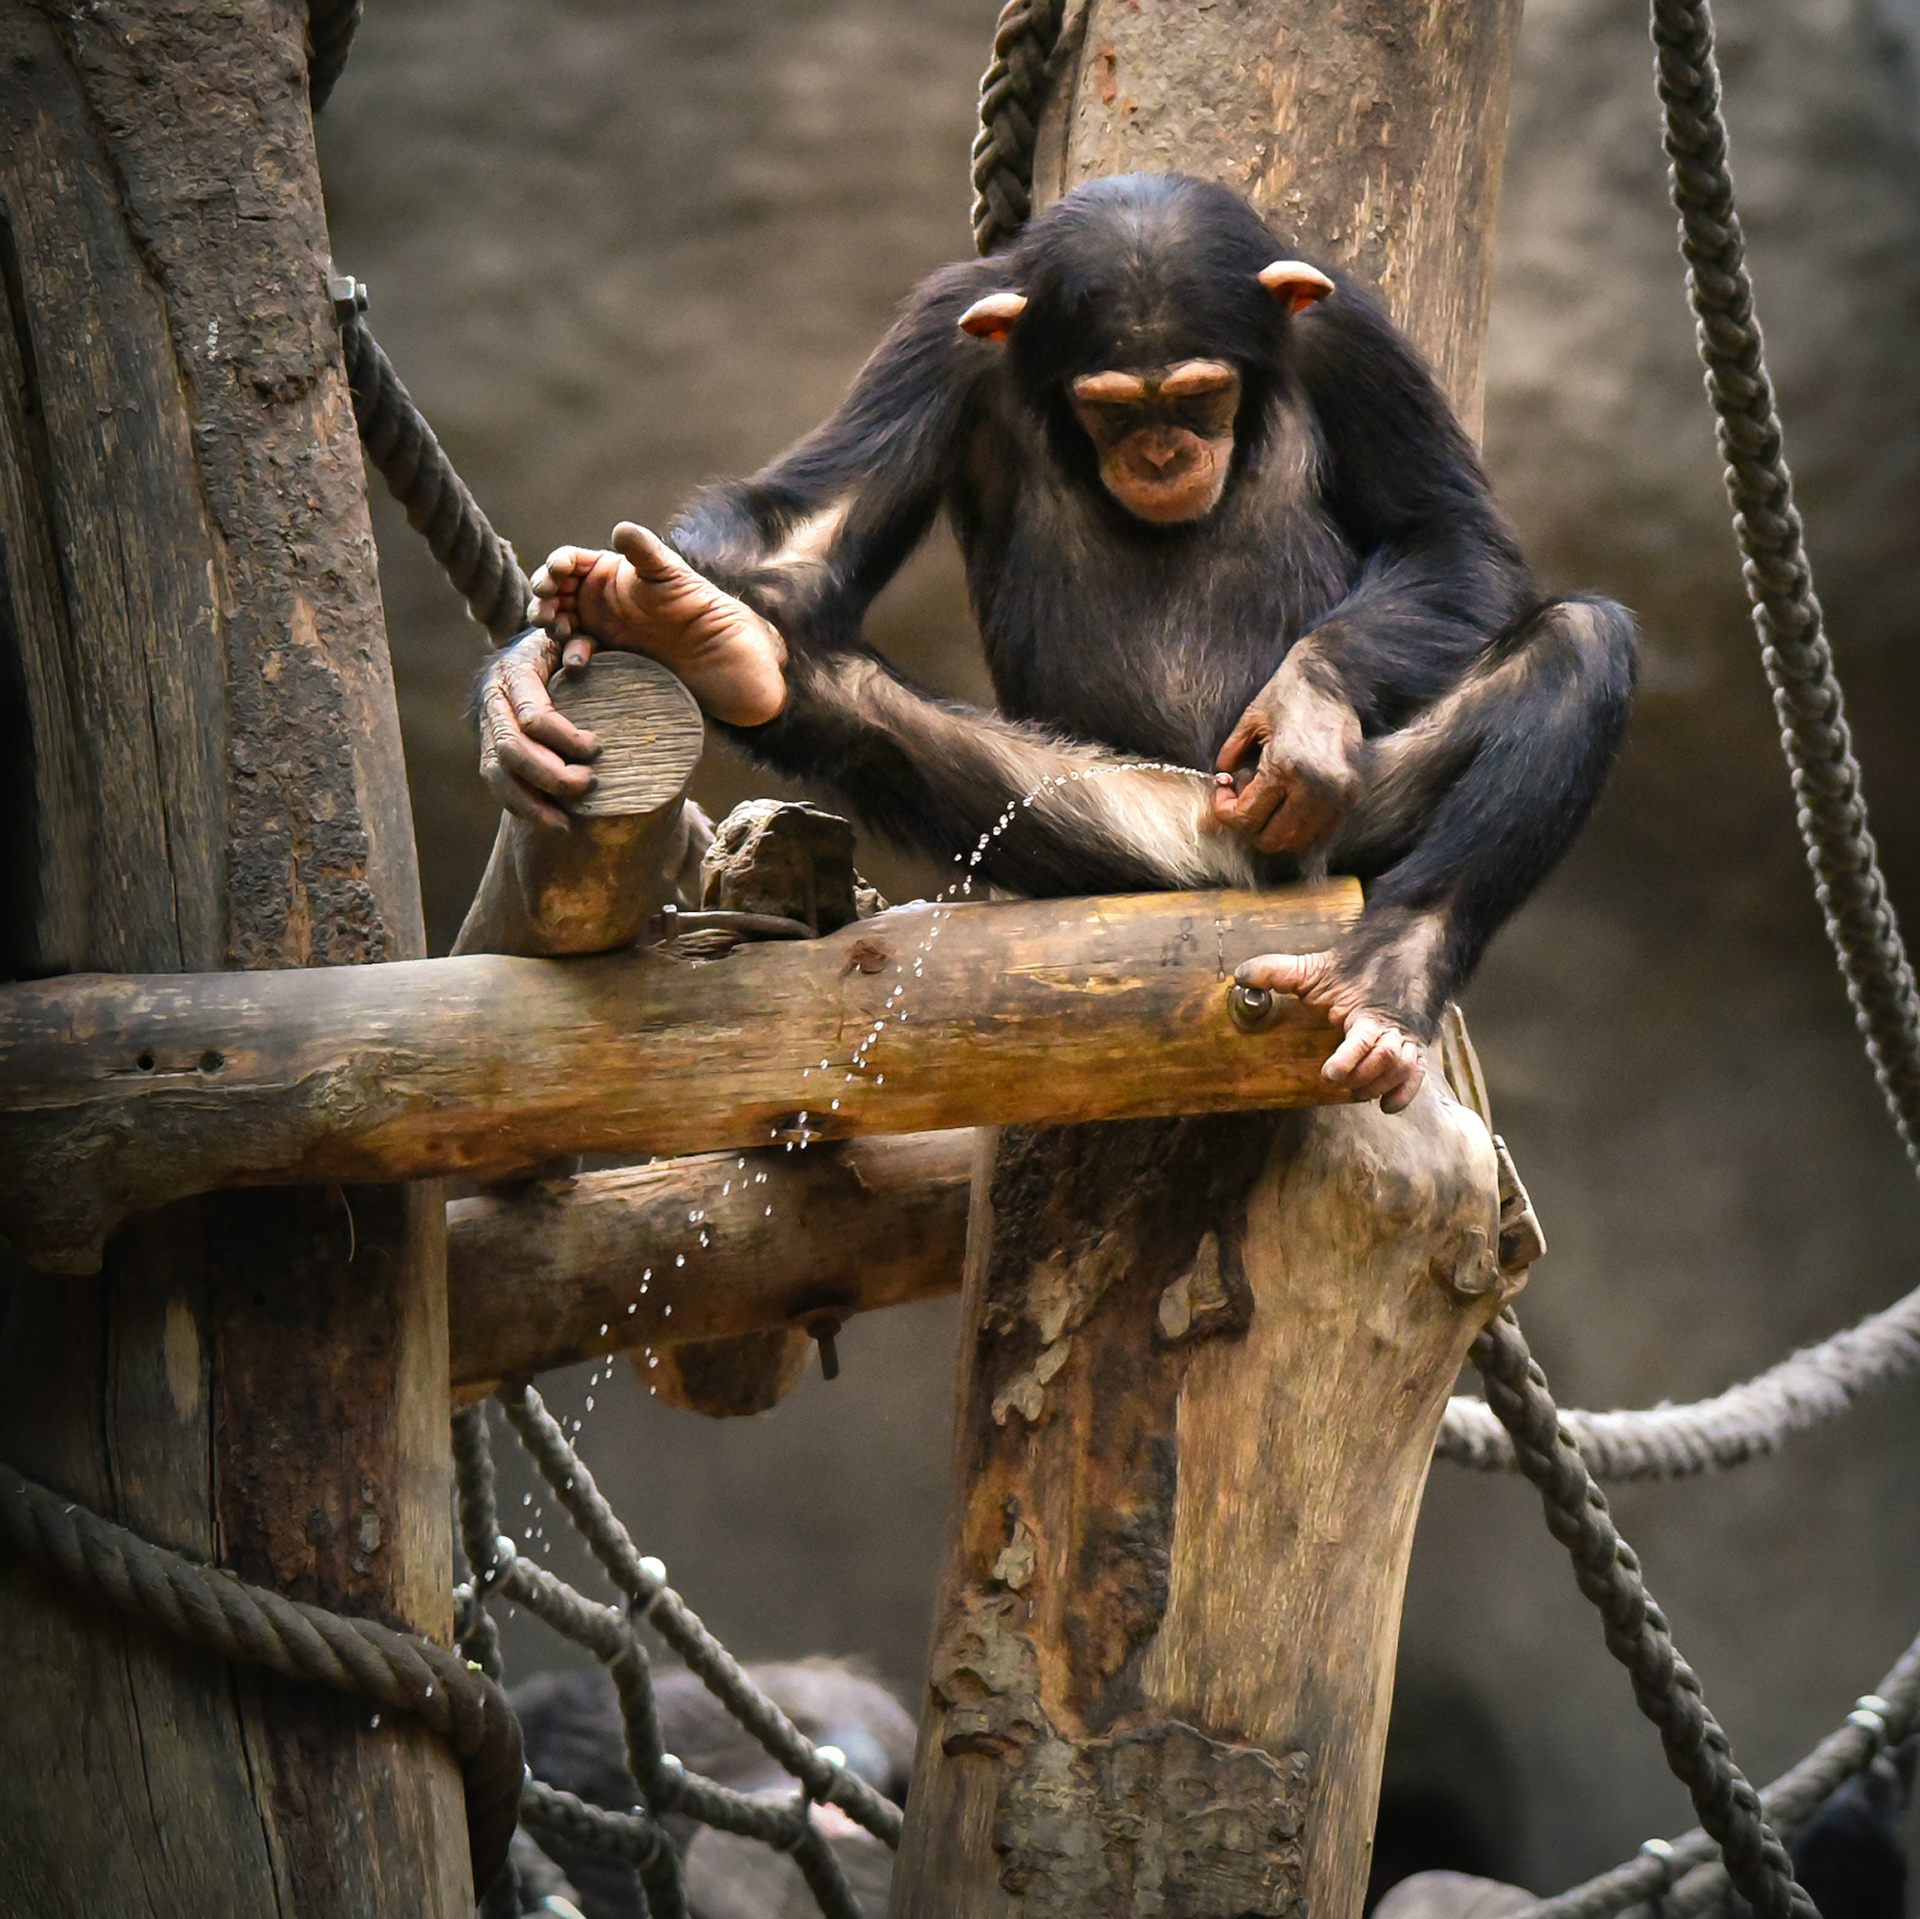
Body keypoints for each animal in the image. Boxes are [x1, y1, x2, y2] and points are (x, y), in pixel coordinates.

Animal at [480, 183, 1635, 1114]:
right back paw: (708, 636)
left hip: (1342, 833)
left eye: (1203, 392)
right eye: (1111, 407)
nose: (1163, 451)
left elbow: (1453, 533)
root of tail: (1234, 863)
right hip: (1111, 832)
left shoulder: (1354, 335)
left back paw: (1384, 977)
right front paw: (559, 651)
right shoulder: (938, 335)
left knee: (1576, 648)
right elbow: (808, 534)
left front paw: (1304, 711)